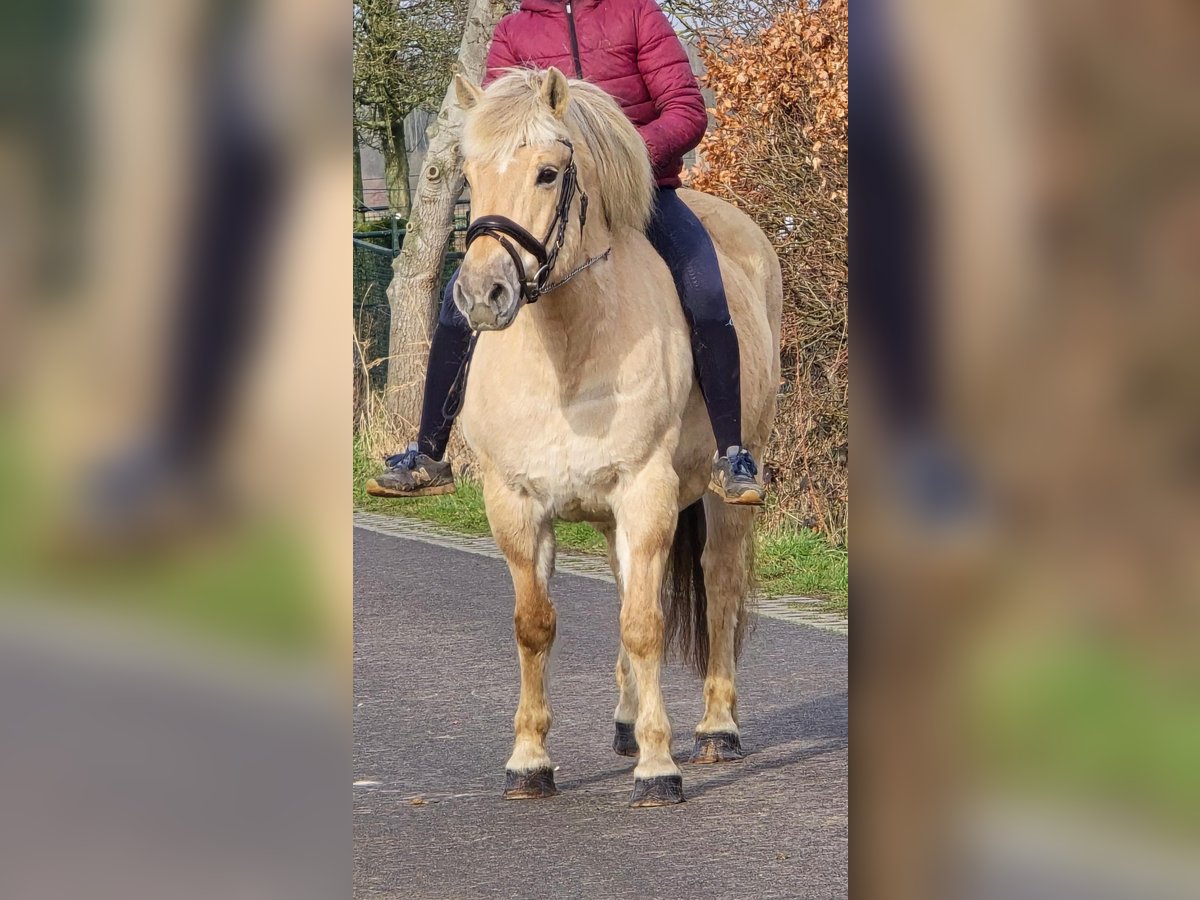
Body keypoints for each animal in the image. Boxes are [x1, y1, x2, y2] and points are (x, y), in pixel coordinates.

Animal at [452, 67, 782, 807]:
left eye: (547, 173)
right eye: (468, 173)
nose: (484, 294)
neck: (566, 353)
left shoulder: (646, 491)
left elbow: (645, 623)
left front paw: (659, 769)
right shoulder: (515, 502)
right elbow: (536, 624)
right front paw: (529, 762)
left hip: (721, 494)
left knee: (718, 583)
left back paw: (717, 728)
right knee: (630, 583)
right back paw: (628, 722)